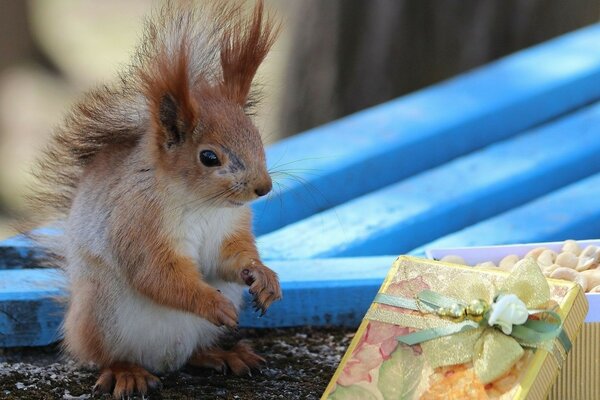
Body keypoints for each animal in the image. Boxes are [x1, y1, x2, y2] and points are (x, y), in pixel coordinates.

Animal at [26, 1, 284, 398]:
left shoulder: (230, 228)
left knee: (194, 353)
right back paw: (127, 372)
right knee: (106, 355)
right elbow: (157, 274)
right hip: (101, 315)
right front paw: (213, 303)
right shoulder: (138, 222)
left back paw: (223, 354)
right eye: (209, 157)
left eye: (257, 137)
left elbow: (228, 259)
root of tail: (164, 361)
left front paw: (263, 275)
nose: (263, 188)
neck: (202, 205)